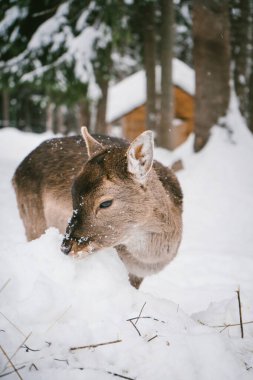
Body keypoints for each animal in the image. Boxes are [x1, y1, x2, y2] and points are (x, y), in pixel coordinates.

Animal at [12, 127, 183, 288]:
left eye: (105, 203)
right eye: (72, 194)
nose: (65, 248)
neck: (147, 261)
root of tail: (16, 173)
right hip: (33, 221)